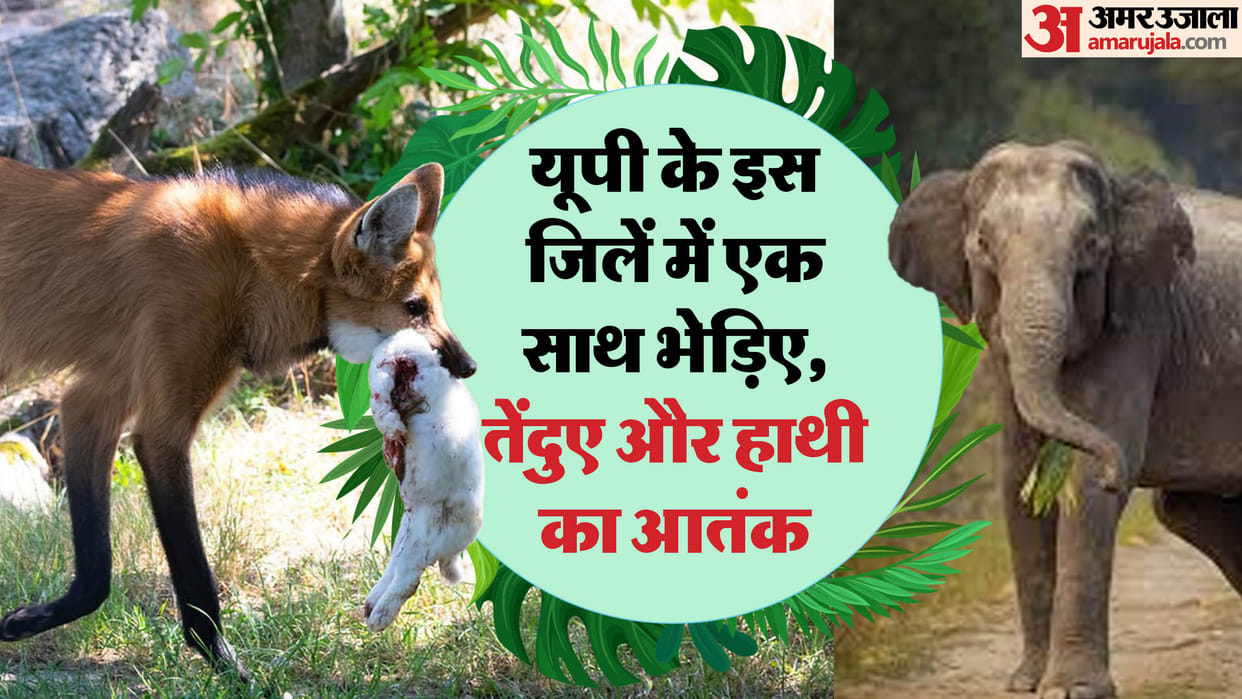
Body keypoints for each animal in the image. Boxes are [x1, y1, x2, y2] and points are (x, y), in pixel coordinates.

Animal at [0, 157, 473, 676]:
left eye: (435, 306)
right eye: (414, 307)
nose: (469, 366)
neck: (250, 269)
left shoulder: (90, 402)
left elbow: (95, 571)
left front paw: (29, 619)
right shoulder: (158, 431)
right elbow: (191, 571)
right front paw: (225, 663)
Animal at [888, 140, 1242, 698]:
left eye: (1092, 245)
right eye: (983, 243)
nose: (1122, 473)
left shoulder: (1137, 321)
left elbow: (1085, 484)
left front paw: (1072, 690)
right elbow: (1015, 481)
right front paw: (1026, 683)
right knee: (1187, 509)